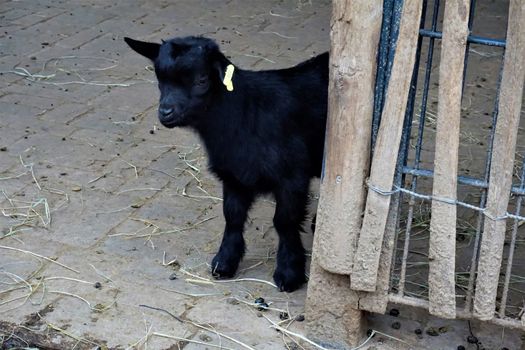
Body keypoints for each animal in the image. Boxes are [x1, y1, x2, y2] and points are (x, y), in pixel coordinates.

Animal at [124, 36, 326, 292]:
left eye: (201, 79)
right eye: (160, 80)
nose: (166, 112)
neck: (245, 113)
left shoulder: (292, 177)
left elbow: (284, 222)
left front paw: (289, 272)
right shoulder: (233, 175)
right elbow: (232, 217)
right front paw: (225, 261)